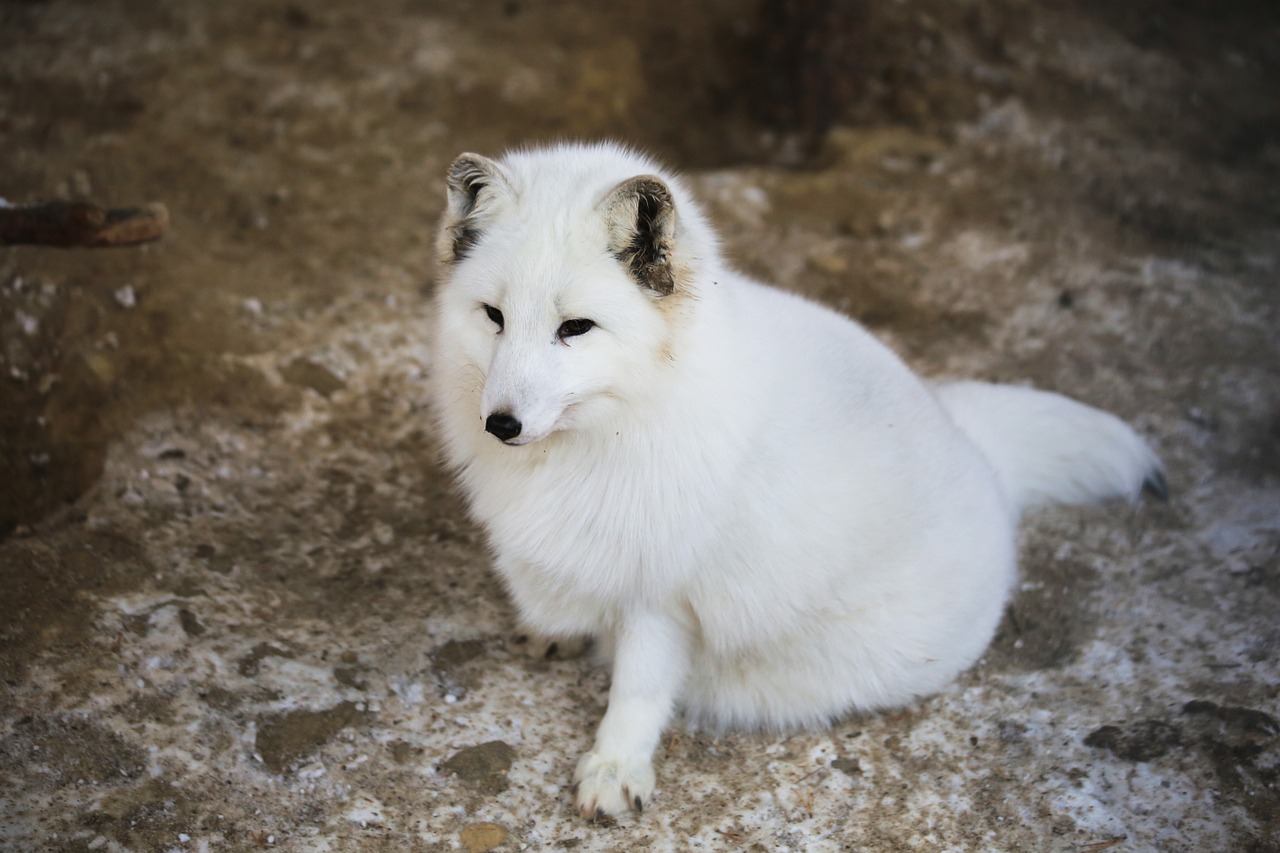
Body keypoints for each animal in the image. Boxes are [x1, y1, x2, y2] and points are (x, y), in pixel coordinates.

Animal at [427, 140, 1162, 819]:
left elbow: (637, 687)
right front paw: (552, 627)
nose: (502, 424)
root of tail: (978, 451)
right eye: (493, 316)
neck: (620, 425)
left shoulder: (663, 593)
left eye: (576, 327)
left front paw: (614, 767)